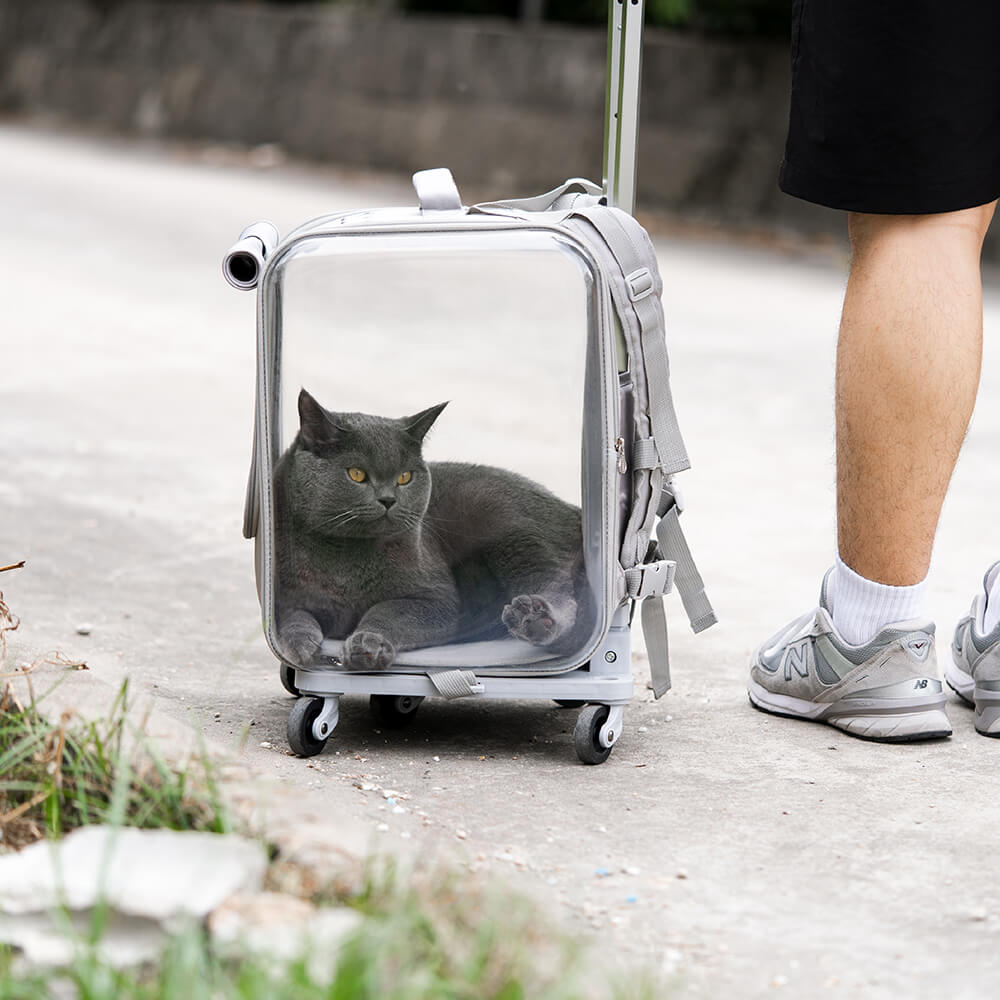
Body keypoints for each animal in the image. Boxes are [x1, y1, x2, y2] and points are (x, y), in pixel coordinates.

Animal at [272, 390, 592, 672]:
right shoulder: (284, 596)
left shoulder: (436, 599)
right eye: (357, 474)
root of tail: (575, 510)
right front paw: (298, 646)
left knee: (557, 586)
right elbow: (292, 617)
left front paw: (368, 644)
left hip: (502, 518)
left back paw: (533, 618)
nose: (388, 499)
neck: (344, 557)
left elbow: (386, 610)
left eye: (405, 477)